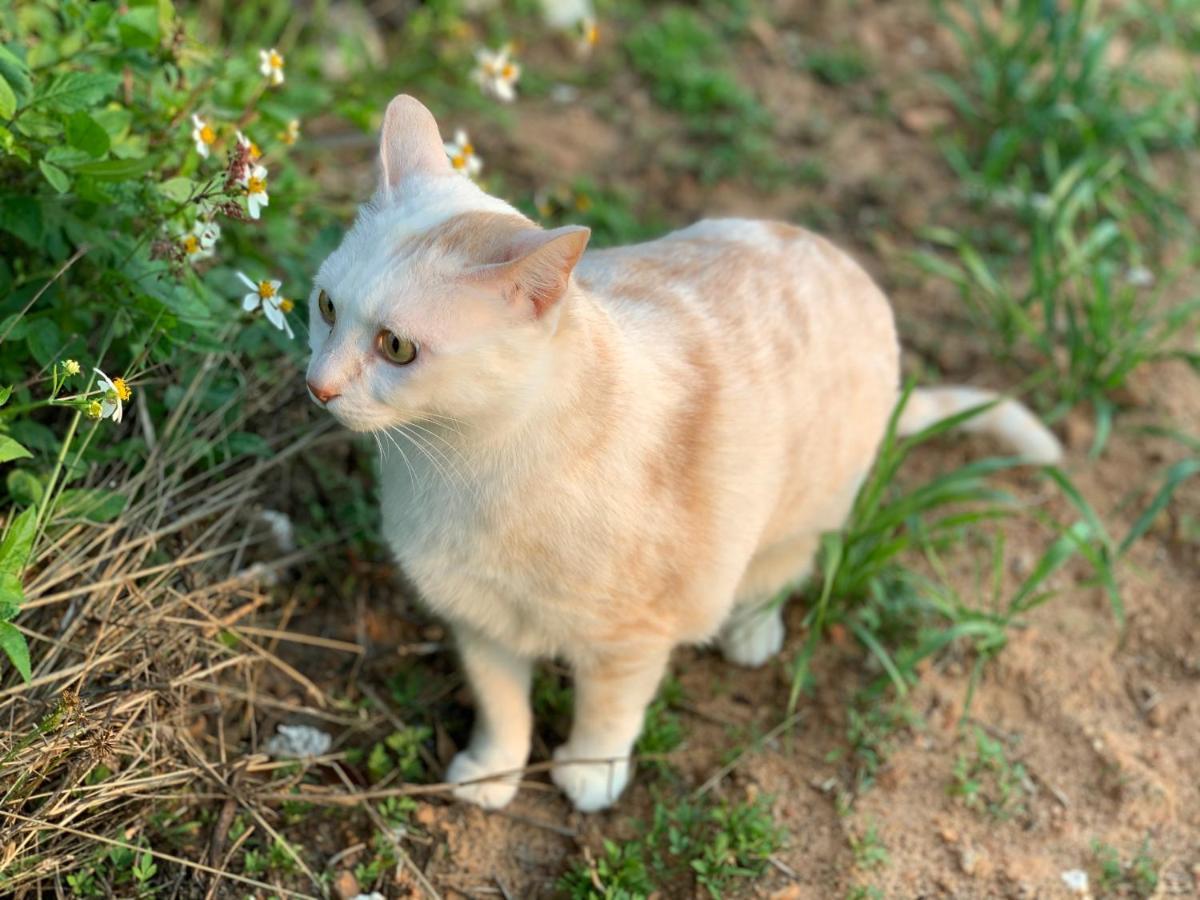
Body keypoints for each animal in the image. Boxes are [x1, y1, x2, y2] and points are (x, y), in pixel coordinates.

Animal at [307, 95, 1060, 816]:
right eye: (325, 306)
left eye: (397, 347)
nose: (318, 385)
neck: (458, 465)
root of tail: (845, 262)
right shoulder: (481, 621)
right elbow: (503, 707)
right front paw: (494, 773)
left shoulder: (631, 638)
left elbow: (608, 714)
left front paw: (589, 774)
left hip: (801, 512)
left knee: (781, 570)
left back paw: (751, 631)